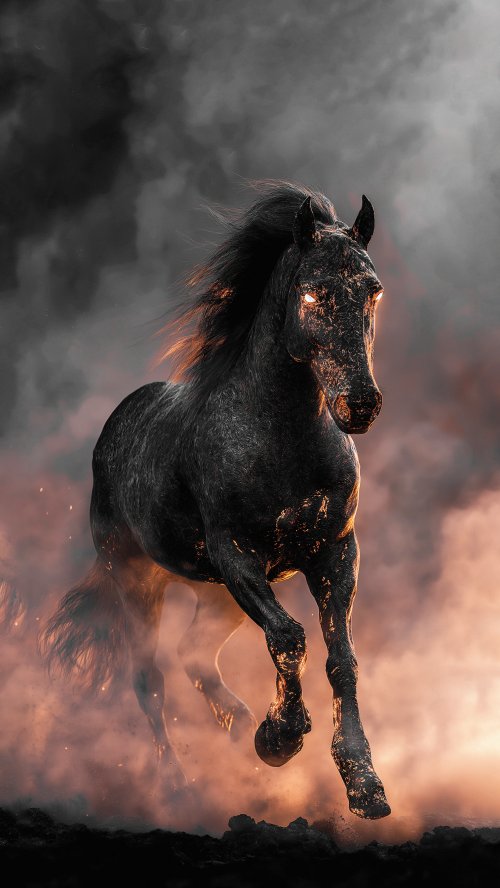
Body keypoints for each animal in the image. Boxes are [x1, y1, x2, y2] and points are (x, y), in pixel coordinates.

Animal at [41, 181, 390, 820]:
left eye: (372, 290)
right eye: (313, 292)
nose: (360, 405)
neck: (280, 439)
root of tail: (114, 426)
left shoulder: (336, 553)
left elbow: (341, 659)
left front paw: (364, 785)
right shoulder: (237, 555)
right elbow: (290, 638)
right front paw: (279, 739)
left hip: (218, 596)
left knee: (194, 656)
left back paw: (237, 726)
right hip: (138, 583)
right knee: (149, 681)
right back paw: (180, 785)